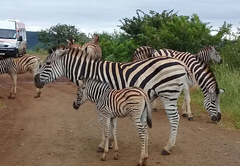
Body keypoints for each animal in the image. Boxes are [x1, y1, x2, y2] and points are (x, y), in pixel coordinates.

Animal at [33, 47, 221, 155]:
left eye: (47, 64)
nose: (35, 80)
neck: (92, 74)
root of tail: (180, 63)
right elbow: (109, 124)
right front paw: (109, 143)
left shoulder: (102, 99)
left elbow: (103, 124)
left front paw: (103, 144)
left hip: (168, 94)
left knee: (174, 119)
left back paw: (168, 147)